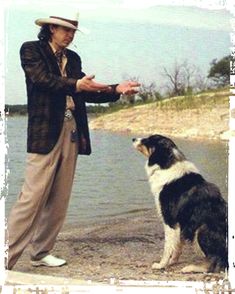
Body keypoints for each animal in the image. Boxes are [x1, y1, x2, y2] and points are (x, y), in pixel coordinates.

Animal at [133, 134, 227, 272]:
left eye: (148, 140)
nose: (133, 139)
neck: (167, 165)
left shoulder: (169, 220)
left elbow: (168, 246)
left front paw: (161, 264)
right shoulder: (182, 222)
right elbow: (178, 245)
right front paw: (173, 261)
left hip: (201, 229)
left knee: (214, 263)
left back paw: (190, 268)